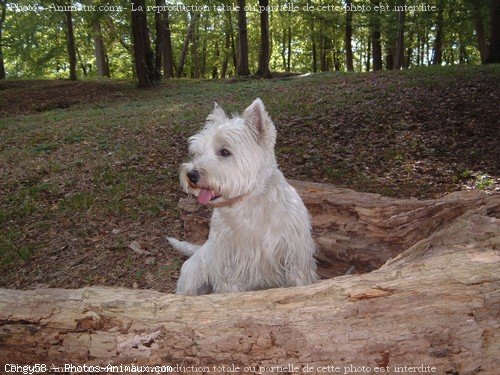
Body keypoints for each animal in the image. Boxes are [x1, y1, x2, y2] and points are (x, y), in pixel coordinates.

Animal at [168, 100, 316, 296]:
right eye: (197, 152)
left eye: (224, 152)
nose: (191, 175)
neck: (248, 203)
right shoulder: (228, 265)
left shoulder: (296, 258)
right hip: (193, 276)